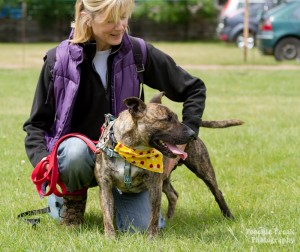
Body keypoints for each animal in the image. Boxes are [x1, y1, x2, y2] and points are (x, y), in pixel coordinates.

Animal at [95, 92, 243, 238]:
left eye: (176, 118)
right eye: (167, 119)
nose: (192, 134)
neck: (130, 151)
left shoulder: (154, 185)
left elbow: (153, 217)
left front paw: (152, 238)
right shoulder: (105, 186)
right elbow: (107, 216)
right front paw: (110, 238)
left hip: (203, 169)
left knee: (217, 192)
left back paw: (229, 216)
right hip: (165, 178)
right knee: (173, 194)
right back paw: (171, 219)